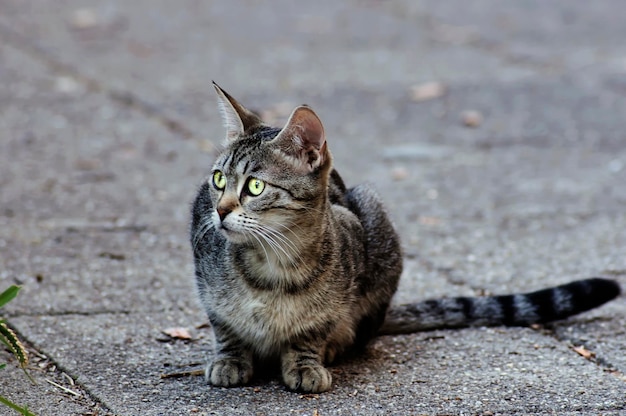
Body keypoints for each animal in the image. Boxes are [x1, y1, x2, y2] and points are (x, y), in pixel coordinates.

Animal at [190, 82, 620, 394]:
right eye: (218, 180)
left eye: (255, 186)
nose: (221, 211)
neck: (273, 263)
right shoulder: (205, 273)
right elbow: (225, 325)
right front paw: (230, 359)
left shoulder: (341, 279)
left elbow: (312, 329)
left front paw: (306, 361)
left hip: (378, 228)